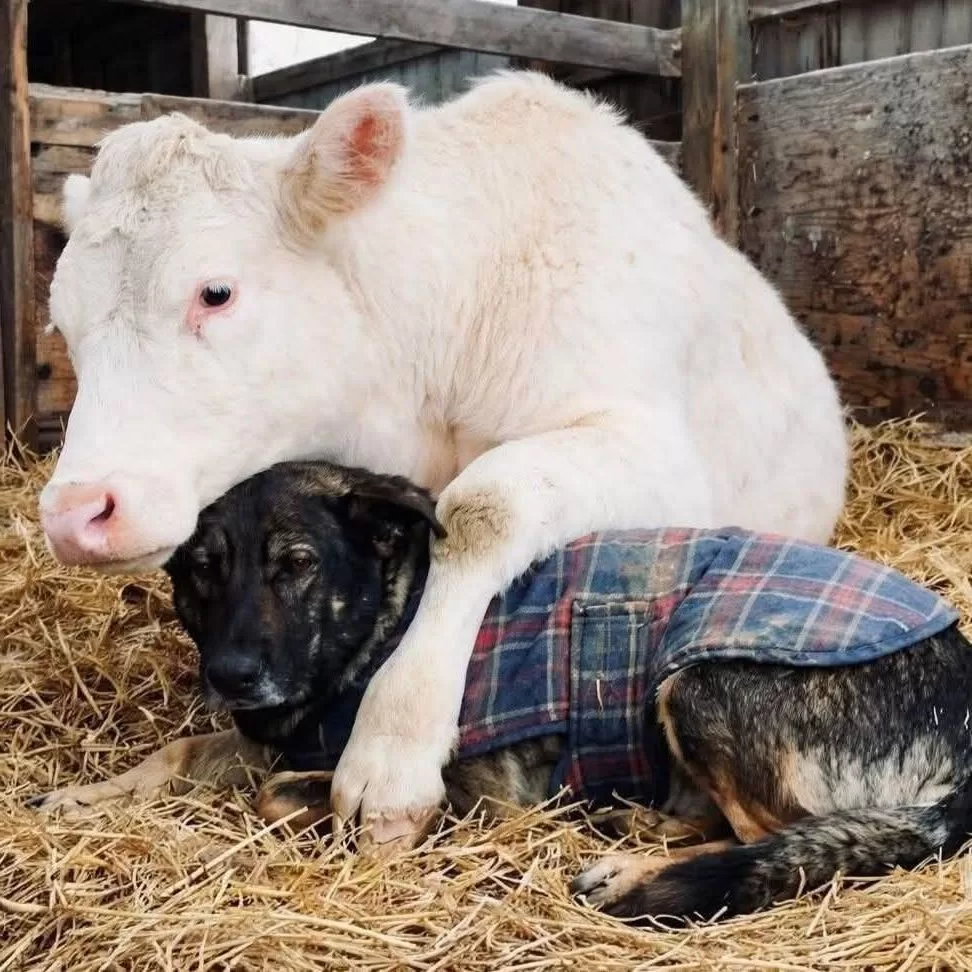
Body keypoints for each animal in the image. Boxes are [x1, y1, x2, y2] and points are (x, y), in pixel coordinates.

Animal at [39, 72, 848, 852]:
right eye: (63, 324)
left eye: (215, 292)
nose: (76, 512)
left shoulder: (655, 451)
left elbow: (483, 506)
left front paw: (390, 751)